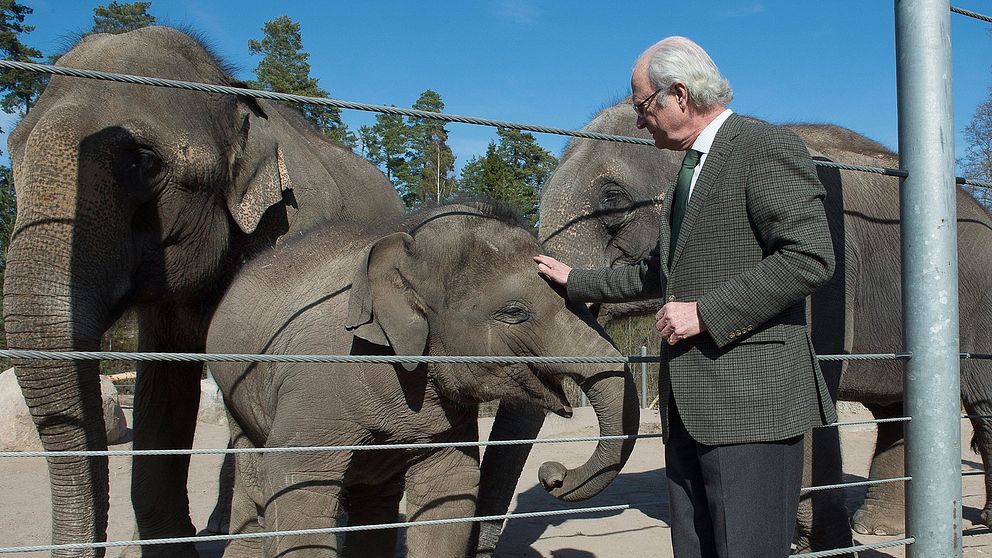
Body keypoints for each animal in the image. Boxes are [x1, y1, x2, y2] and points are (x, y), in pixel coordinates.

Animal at [207, 202, 644, 558]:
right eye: (514, 313)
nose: (553, 475)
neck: (405, 240)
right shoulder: (315, 381)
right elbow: (298, 487)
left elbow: (450, 488)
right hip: (237, 395)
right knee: (254, 486)